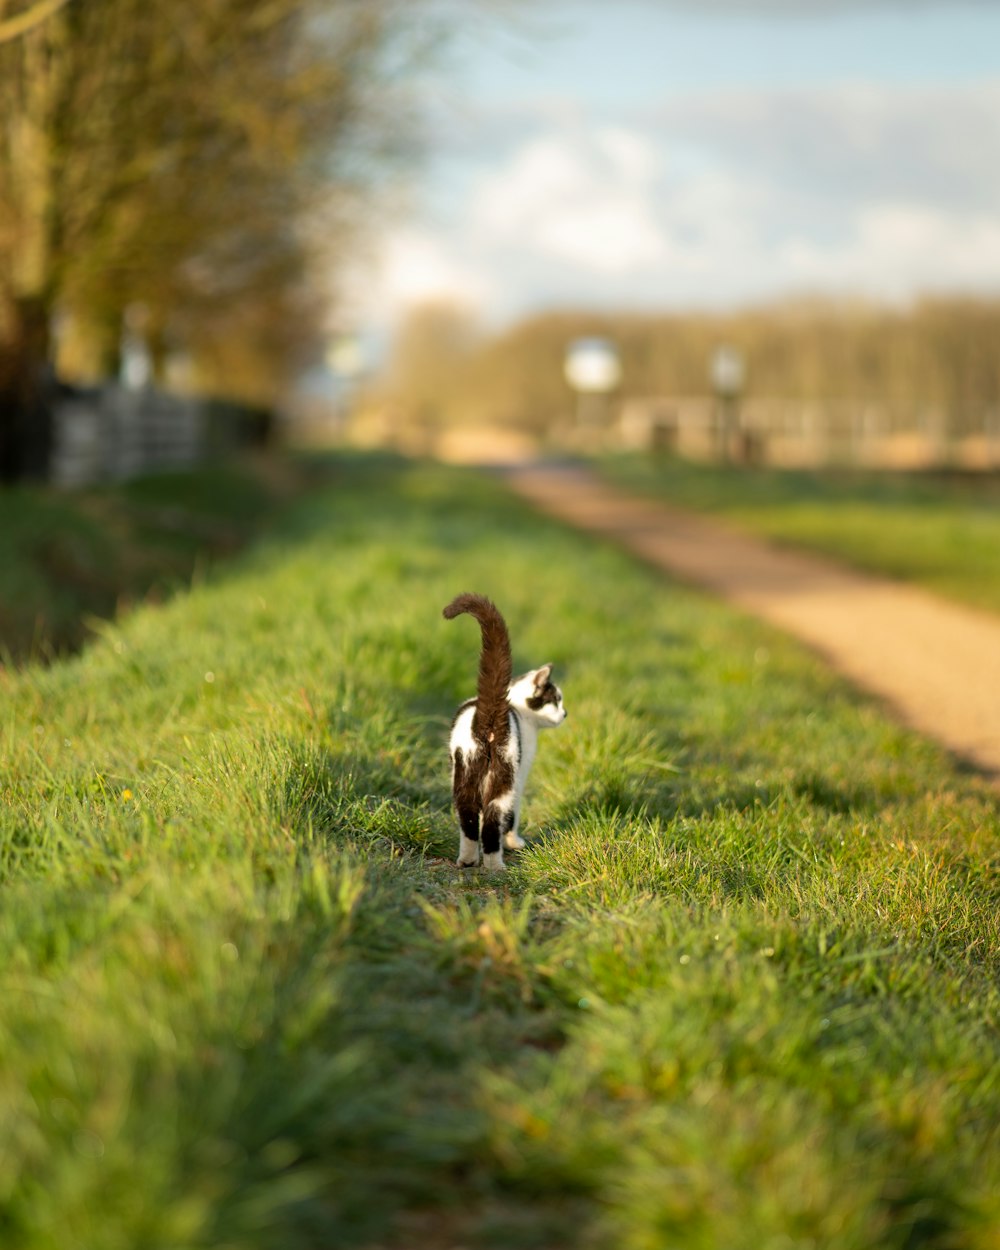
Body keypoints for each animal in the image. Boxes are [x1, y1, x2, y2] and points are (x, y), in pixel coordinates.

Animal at [442, 592, 567, 870]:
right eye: (556, 700)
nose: (565, 714)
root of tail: (489, 715)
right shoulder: (522, 772)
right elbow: (513, 816)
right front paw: (514, 841)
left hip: (468, 773)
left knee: (470, 816)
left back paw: (474, 861)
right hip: (505, 775)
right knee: (493, 818)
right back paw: (492, 864)